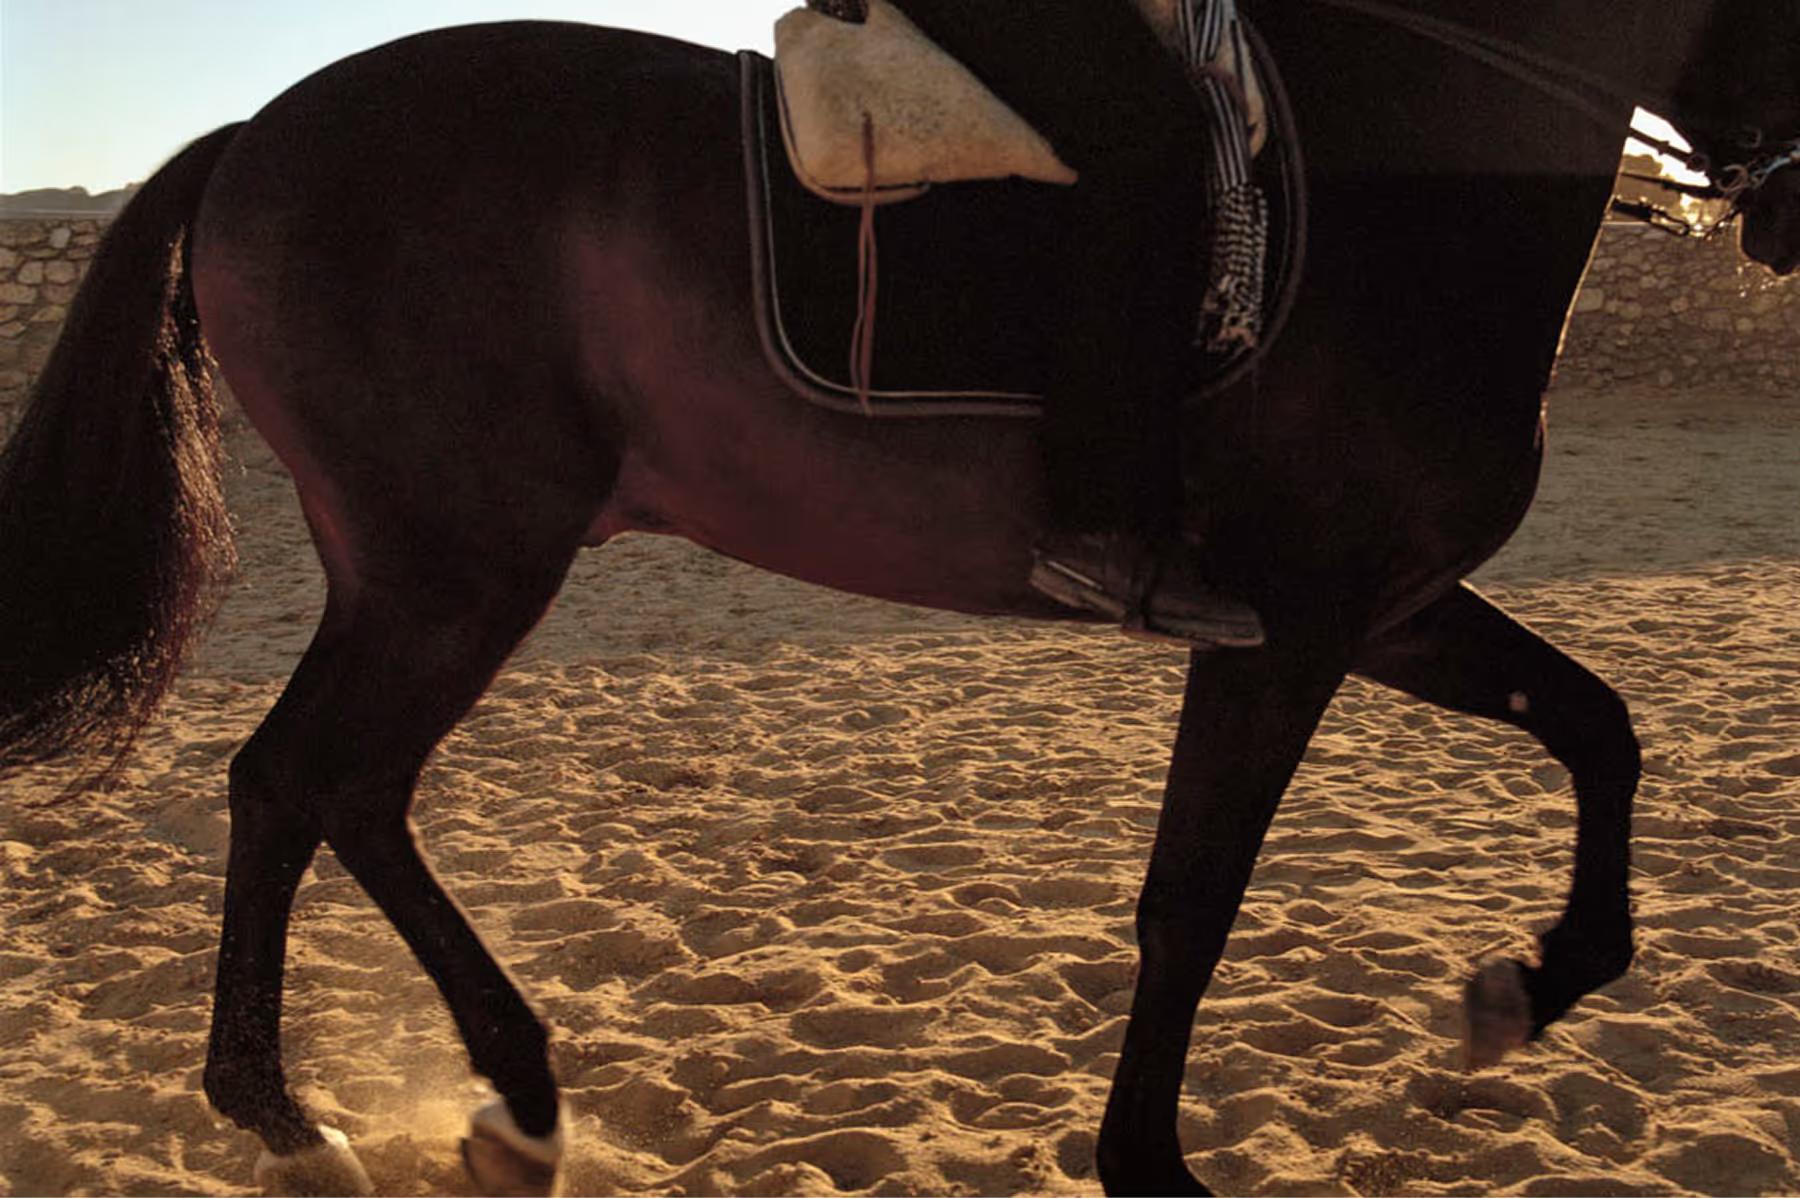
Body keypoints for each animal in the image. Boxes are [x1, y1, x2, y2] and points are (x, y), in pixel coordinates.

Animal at [1, 1, 1796, 1193]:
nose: (1777, 207)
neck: (1408, 162)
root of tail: (253, 138)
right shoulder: (1289, 626)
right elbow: (1191, 900)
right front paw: (1147, 1159)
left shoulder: (1390, 606)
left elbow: (1603, 726)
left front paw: (1528, 985)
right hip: (458, 567)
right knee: (322, 778)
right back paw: (398, 1098)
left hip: (420, 571)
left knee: (311, 786)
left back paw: (370, 1099)